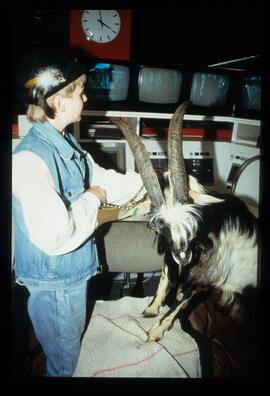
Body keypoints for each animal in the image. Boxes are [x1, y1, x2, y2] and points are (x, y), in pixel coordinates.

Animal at [113, 103, 258, 344]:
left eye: (194, 220)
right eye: (160, 227)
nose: (183, 255)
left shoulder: (205, 276)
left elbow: (182, 298)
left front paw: (154, 333)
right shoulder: (170, 256)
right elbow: (164, 276)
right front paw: (151, 309)